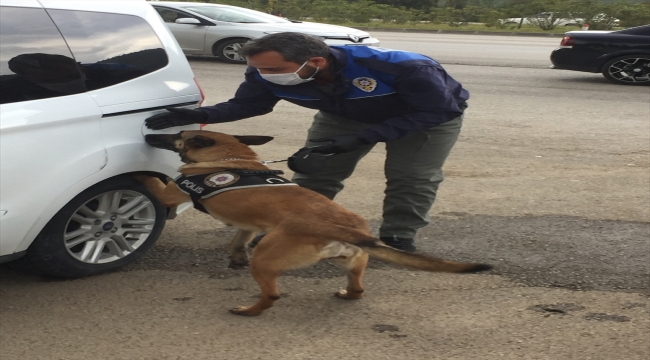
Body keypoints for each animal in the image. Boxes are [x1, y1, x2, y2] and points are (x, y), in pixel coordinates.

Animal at [138, 131, 492, 316]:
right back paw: (346, 295)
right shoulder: (247, 224)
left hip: (265, 260)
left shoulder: (170, 194)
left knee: (272, 295)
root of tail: (344, 228)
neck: (232, 157)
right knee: (358, 288)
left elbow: (155, 182)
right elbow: (238, 239)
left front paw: (143, 171)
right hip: (353, 263)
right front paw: (235, 255)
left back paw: (248, 310)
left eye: (176, 136)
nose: (149, 133)